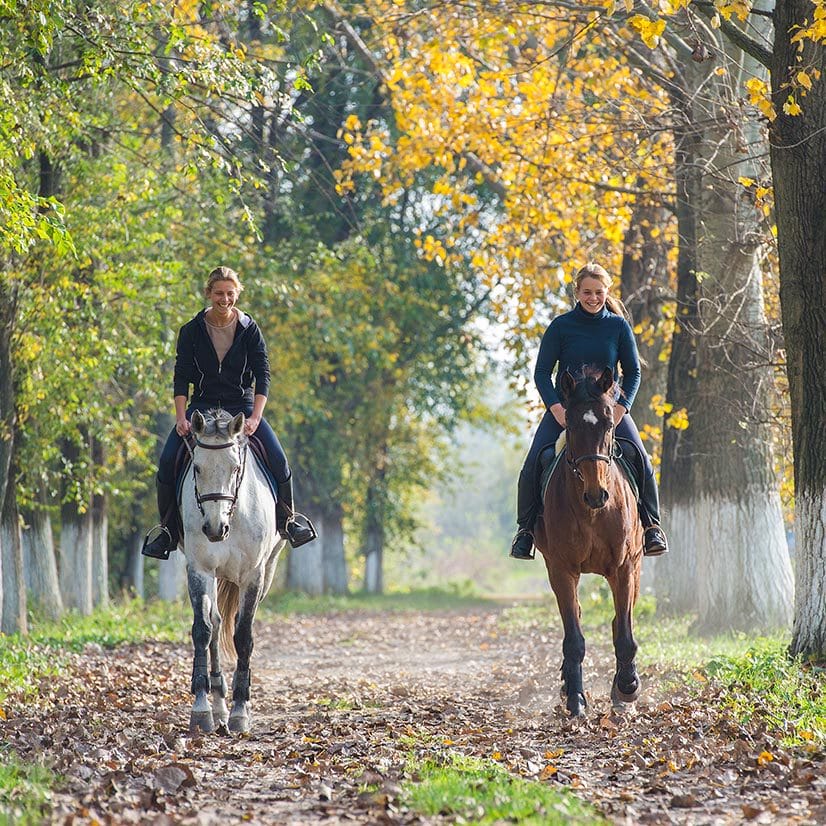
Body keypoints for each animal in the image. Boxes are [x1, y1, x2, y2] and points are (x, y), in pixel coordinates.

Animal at [179, 408, 284, 732]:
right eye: (197, 468)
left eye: (235, 467)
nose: (215, 529)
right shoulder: (199, 569)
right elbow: (203, 630)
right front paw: (202, 708)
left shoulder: (253, 574)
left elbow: (244, 636)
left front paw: (241, 710)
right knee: (214, 622)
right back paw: (218, 703)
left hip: (267, 570)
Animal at [536, 366, 644, 716]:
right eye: (570, 425)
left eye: (609, 424)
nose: (597, 494)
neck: (593, 513)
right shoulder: (561, 570)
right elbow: (574, 638)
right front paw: (575, 699)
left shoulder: (623, 568)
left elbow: (624, 632)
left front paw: (627, 688)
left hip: (637, 566)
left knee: (620, 621)